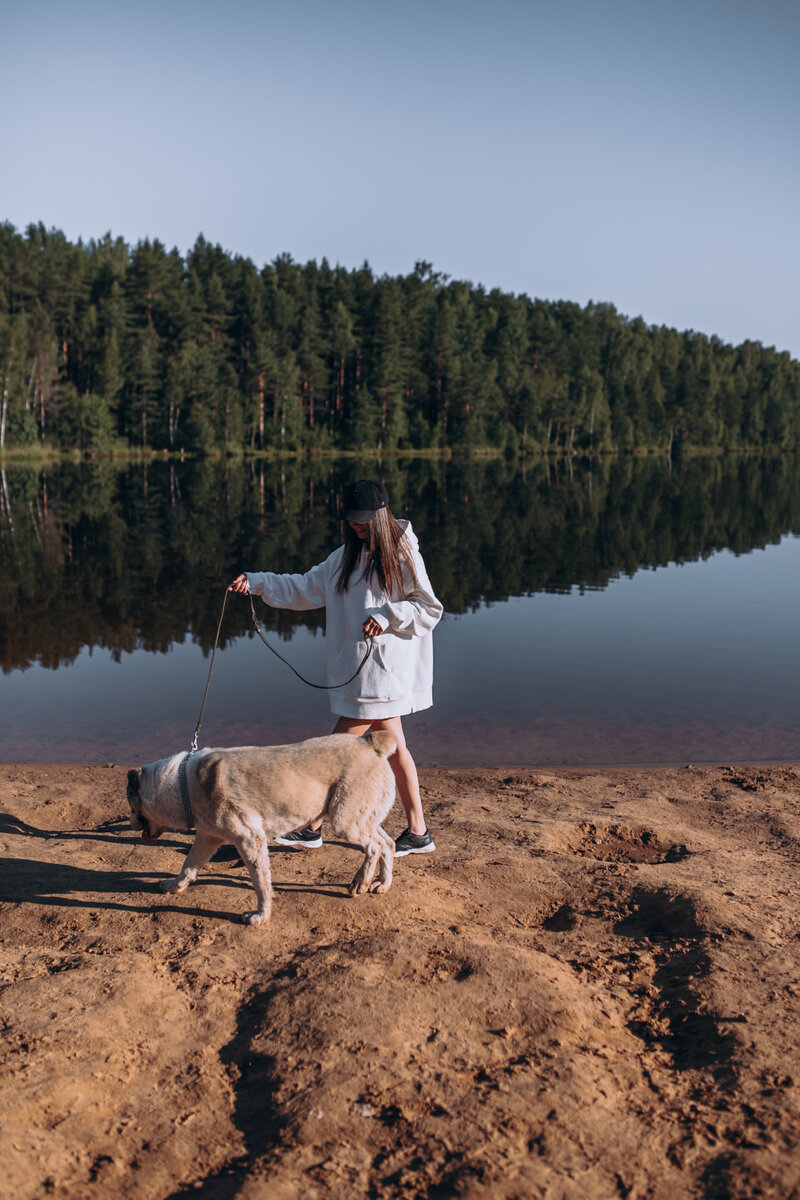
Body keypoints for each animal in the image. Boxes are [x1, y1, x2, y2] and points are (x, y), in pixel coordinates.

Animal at [127, 724, 398, 921]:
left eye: (132, 807)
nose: (130, 823)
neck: (183, 783)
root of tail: (369, 742)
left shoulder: (250, 840)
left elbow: (260, 883)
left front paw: (260, 916)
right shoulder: (207, 838)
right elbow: (188, 866)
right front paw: (175, 886)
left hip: (345, 822)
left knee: (374, 847)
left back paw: (360, 882)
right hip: (363, 819)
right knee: (388, 844)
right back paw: (382, 884)